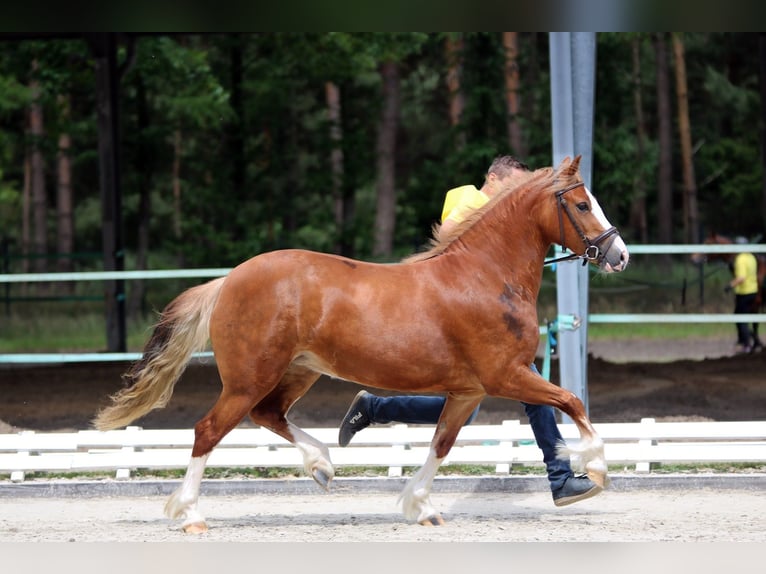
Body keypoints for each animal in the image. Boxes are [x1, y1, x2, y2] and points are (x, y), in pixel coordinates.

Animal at [93, 155, 632, 532]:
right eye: (581, 204)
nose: (619, 254)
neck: (484, 276)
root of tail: (228, 281)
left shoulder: (469, 392)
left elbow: (441, 443)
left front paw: (420, 507)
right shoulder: (507, 376)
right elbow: (571, 401)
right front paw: (594, 470)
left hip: (298, 371)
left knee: (269, 415)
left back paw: (323, 464)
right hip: (250, 377)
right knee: (208, 430)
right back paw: (191, 515)